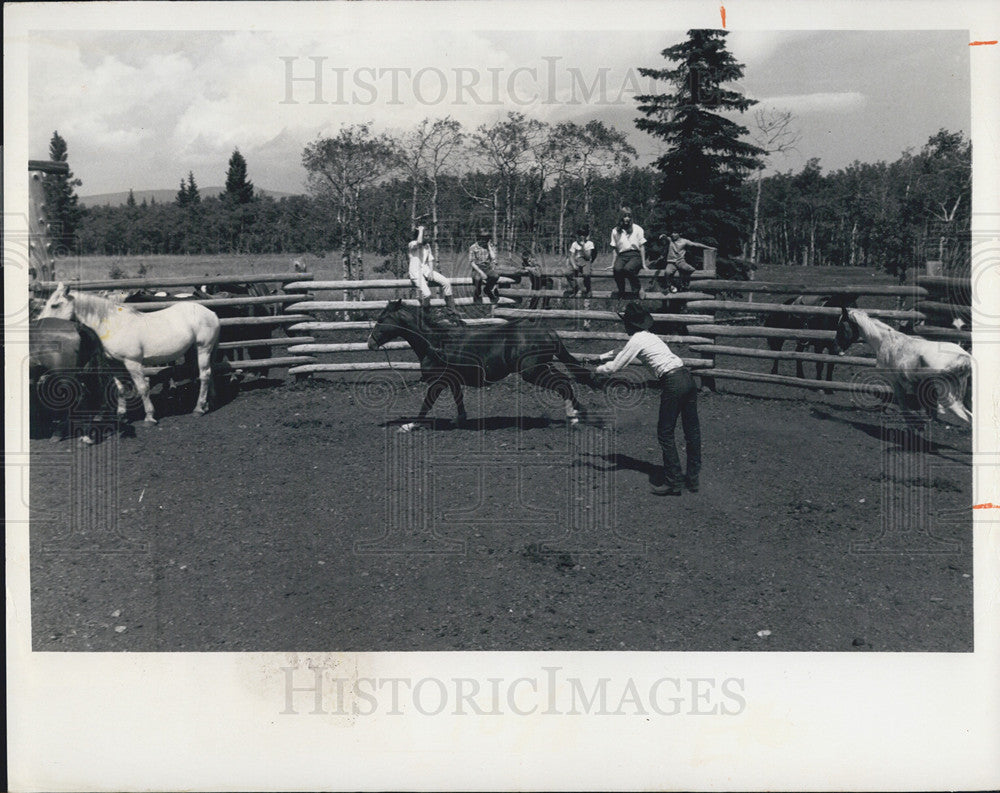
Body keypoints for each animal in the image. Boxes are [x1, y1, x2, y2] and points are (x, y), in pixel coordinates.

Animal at [39, 282, 221, 424]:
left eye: (55, 305)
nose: (40, 324)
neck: (113, 325)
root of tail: (211, 313)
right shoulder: (114, 363)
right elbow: (120, 388)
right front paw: (122, 415)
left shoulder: (132, 362)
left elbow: (142, 387)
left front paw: (149, 417)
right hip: (200, 349)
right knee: (210, 372)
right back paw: (209, 402)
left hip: (203, 348)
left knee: (205, 374)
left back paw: (198, 409)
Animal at [840, 306, 972, 424]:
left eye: (841, 325)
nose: (837, 348)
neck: (884, 341)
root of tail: (965, 358)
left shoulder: (895, 379)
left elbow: (903, 401)